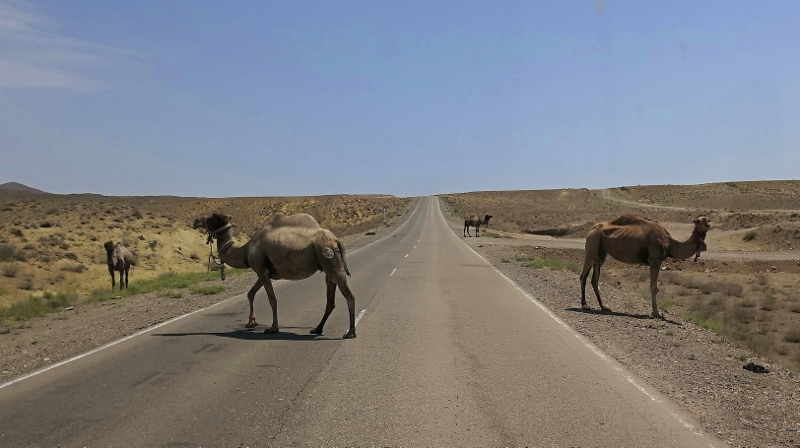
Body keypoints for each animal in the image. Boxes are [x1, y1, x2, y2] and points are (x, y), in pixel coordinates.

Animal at [194, 212, 356, 338]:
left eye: (213, 217)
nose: (196, 221)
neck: (246, 251)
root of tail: (336, 240)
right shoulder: (263, 272)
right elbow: (250, 293)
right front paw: (251, 322)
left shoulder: (260, 269)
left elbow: (272, 299)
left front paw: (273, 328)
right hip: (328, 266)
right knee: (330, 301)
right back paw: (317, 329)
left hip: (330, 260)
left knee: (349, 296)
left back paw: (350, 333)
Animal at [580, 214, 708, 316]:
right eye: (700, 220)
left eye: (707, 220)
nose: (708, 224)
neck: (670, 244)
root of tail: (591, 229)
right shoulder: (654, 260)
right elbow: (653, 287)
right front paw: (657, 313)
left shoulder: (657, 261)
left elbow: (654, 287)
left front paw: (656, 312)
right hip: (592, 244)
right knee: (583, 276)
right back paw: (584, 305)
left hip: (601, 253)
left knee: (594, 279)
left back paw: (604, 306)